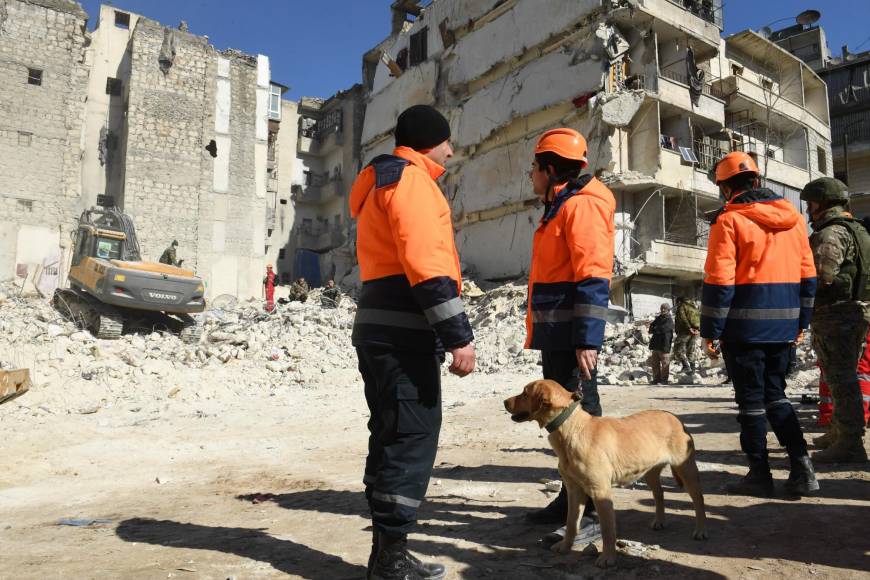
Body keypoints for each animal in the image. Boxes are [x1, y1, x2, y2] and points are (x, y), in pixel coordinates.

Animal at [504, 380, 708, 568]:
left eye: (525, 393)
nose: (504, 401)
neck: (571, 429)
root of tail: (675, 418)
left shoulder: (600, 492)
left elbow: (608, 530)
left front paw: (608, 557)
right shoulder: (574, 490)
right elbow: (571, 523)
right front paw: (565, 546)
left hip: (686, 469)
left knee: (698, 498)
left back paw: (700, 530)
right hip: (648, 471)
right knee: (659, 493)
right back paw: (659, 521)